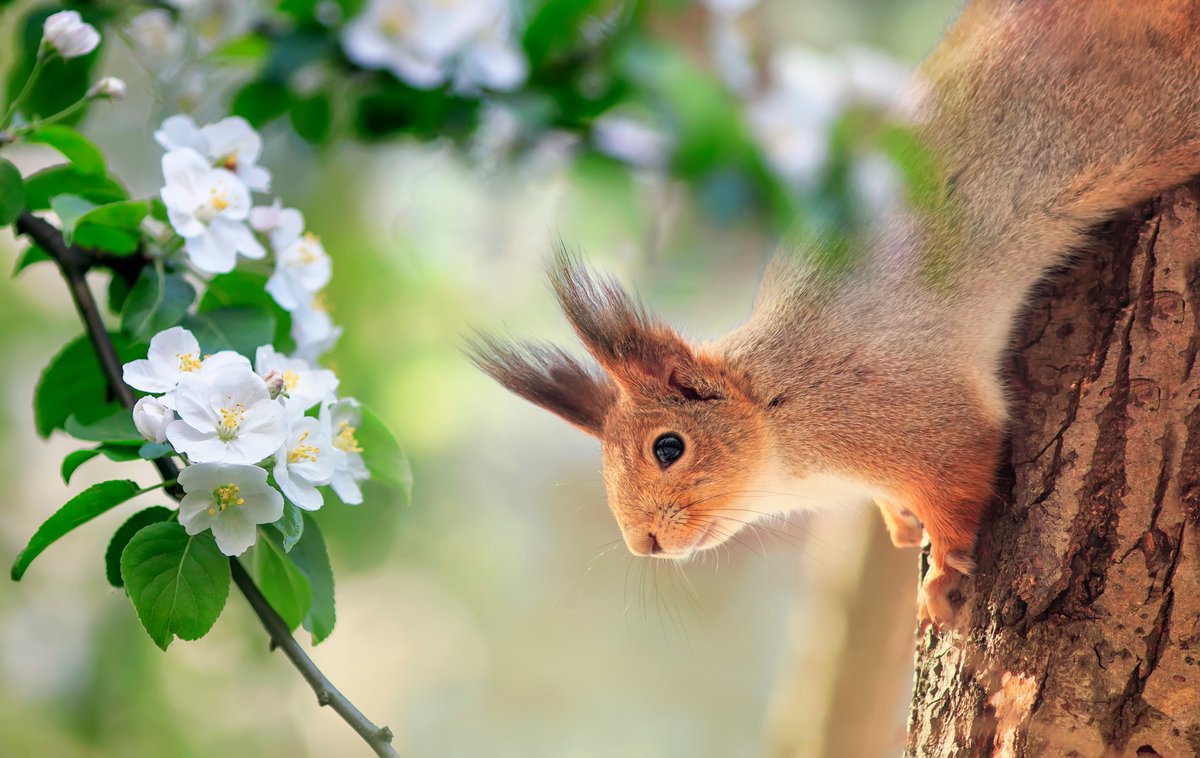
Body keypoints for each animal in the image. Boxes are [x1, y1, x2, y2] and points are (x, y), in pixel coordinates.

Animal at [465, 1, 1200, 628]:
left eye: (668, 447)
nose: (643, 542)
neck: (778, 415)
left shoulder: (909, 414)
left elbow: (962, 479)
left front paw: (942, 571)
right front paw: (898, 520)